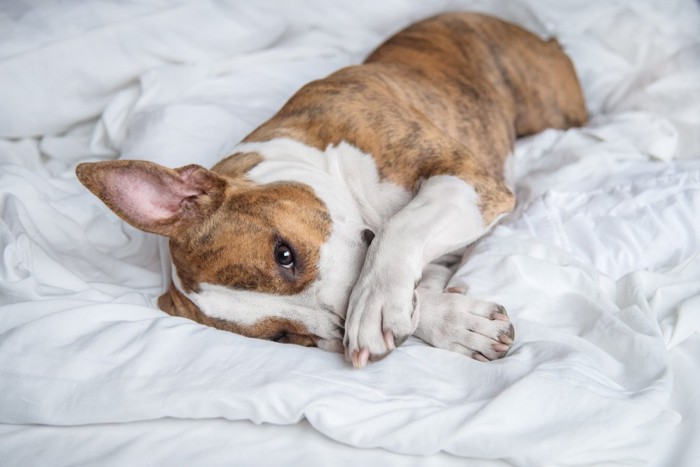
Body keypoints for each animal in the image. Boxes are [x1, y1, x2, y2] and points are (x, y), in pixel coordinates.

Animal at [76, 11, 588, 370]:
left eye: (283, 254)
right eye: (283, 338)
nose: (342, 324)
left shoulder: (465, 179)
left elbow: (400, 229)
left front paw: (375, 305)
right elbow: (423, 283)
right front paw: (455, 321)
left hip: (550, 106)